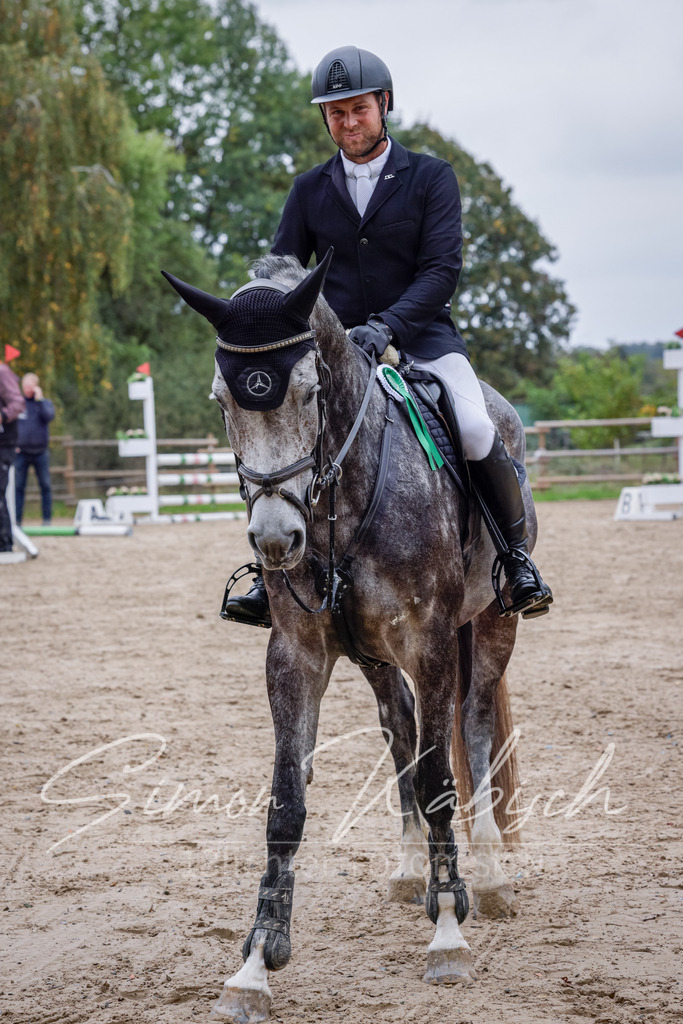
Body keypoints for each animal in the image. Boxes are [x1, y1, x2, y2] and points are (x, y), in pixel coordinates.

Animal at [162, 250, 531, 1021]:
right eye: (222, 401)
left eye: (310, 393)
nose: (276, 539)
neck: (341, 494)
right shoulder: (297, 653)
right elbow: (287, 800)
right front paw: (256, 962)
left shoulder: (429, 640)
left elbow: (440, 775)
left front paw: (448, 932)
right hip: (374, 656)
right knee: (400, 731)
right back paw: (410, 868)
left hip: (491, 624)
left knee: (475, 727)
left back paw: (487, 876)